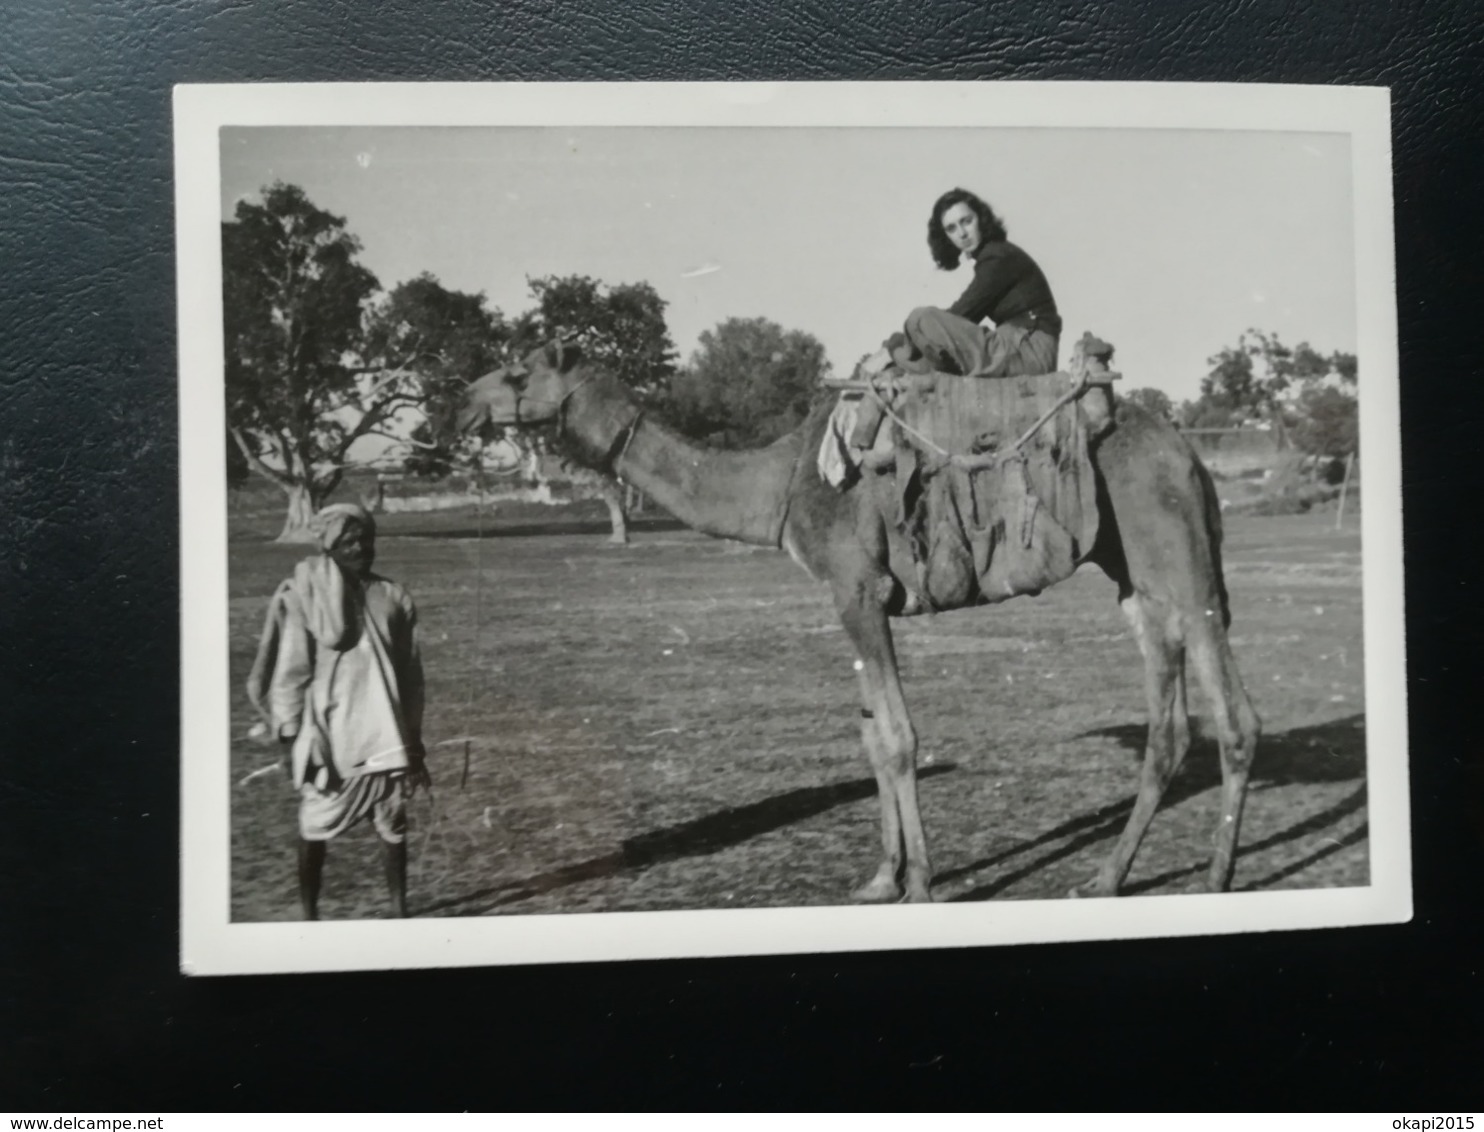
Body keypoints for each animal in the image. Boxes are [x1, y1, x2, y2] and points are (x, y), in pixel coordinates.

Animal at [457, 338, 1258, 902]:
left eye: (518, 372)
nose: (464, 403)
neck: (780, 483)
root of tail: (1189, 452)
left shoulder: (858, 589)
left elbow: (899, 739)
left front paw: (922, 884)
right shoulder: (850, 597)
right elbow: (872, 736)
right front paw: (879, 877)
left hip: (1175, 553)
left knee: (1235, 715)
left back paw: (1214, 877)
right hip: (1135, 574)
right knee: (1169, 719)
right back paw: (1107, 877)